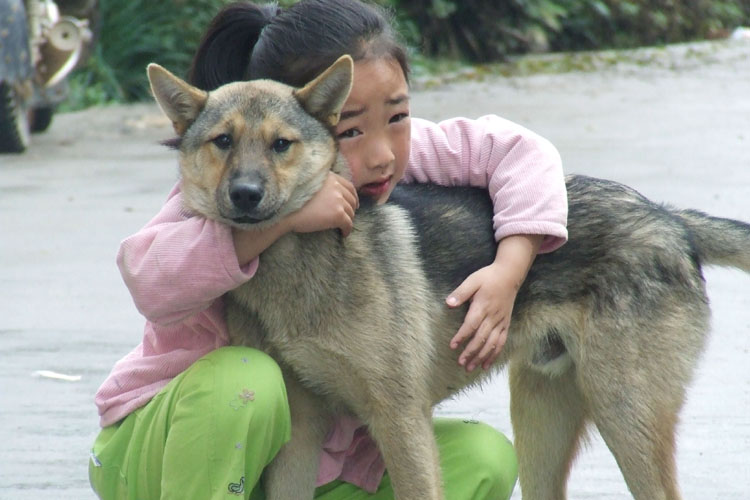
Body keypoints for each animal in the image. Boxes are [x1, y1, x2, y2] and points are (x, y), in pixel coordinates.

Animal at [147, 55, 750, 500]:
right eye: (223, 142)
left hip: (624, 418)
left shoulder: (399, 419)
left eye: (281, 145)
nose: (245, 195)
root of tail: (668, 218)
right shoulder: (301, 430)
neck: (297, 268)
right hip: (540, 422)